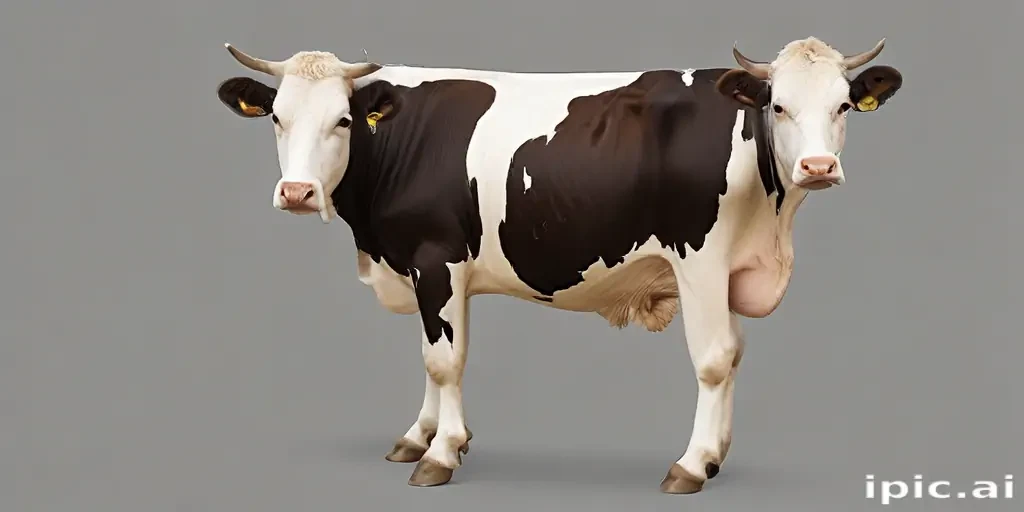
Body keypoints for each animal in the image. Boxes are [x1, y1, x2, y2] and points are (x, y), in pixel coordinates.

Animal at [214, 36, 902, 493]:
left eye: (342, 120)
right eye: (277, 118)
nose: (297, 192)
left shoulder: (436, 257)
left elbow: (444, 359)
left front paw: (441, 455)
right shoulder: (428, 268)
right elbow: (435, 356)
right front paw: (421, 437)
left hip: (702, 261)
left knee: (715, 359)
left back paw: (692, 463)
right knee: (732, 356)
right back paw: (715, 457)